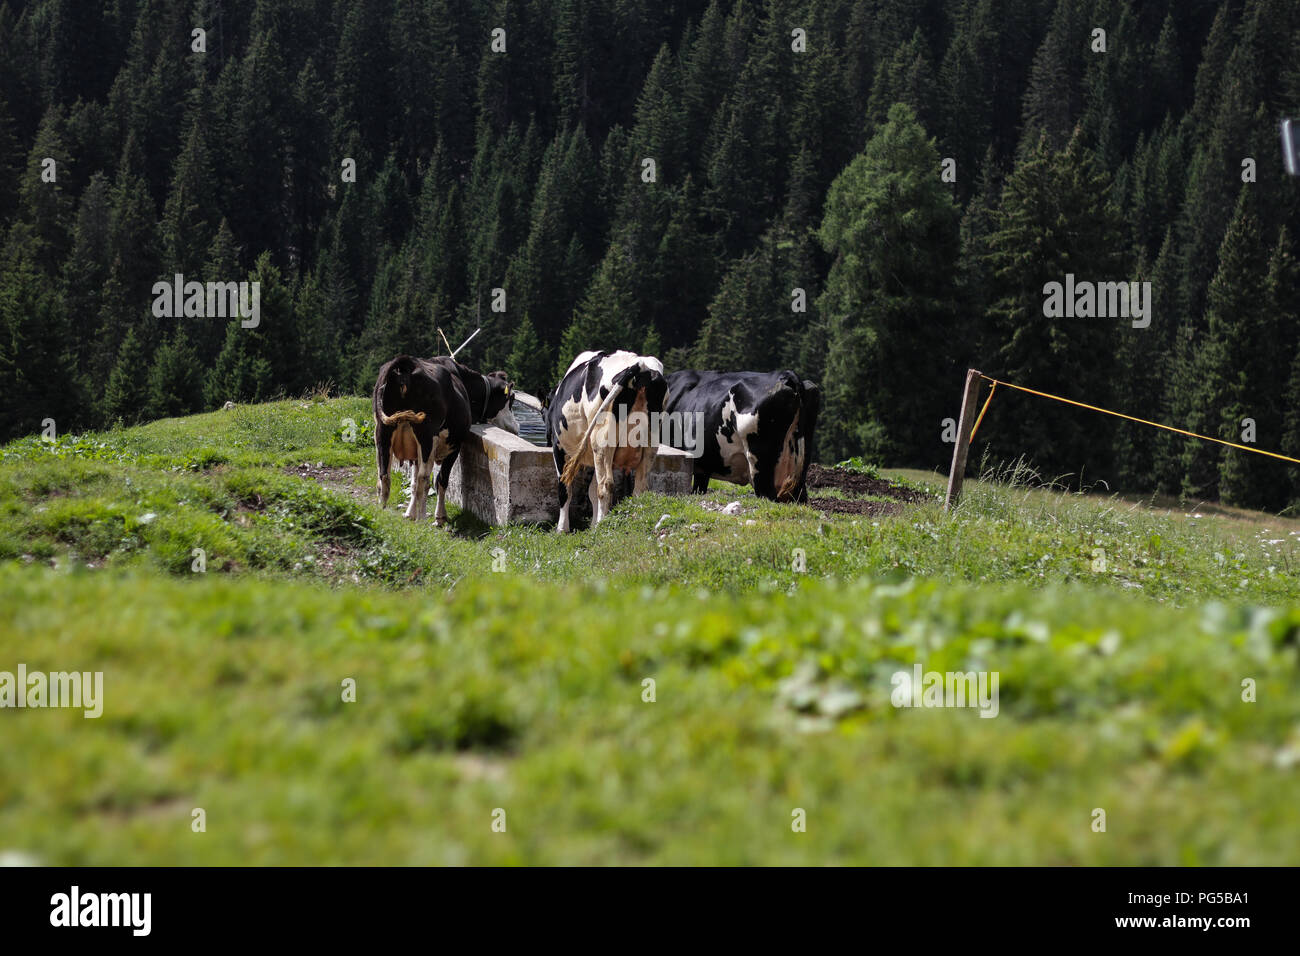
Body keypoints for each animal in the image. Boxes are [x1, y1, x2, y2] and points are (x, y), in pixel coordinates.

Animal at [373, 355, 518, 525]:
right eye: (511, 399)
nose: (516, 427)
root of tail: (406, 363)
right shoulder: (454, 446)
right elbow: (441, 481)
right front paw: (440, 516)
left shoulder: (415, 452)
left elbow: (413, 482)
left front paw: (410, 513)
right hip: (426, 436)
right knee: (424, 479)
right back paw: (422, 519)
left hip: (382, 432)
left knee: (384, 476)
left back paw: (382, 512)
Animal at [545, 350, 668, 532]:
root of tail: (640, 364)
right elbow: (590, 490)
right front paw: (592, 524)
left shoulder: (559, 447)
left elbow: (565, 488)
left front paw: (562, 528)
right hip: (650, 441)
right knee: (640, 485)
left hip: (602, 440)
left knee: (605, 485)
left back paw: (602, 524)